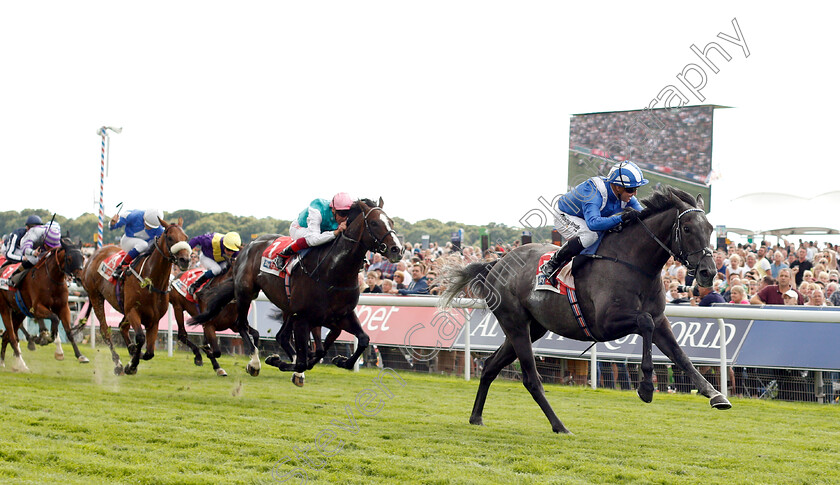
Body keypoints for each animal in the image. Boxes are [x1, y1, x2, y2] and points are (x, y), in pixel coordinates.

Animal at [0, 238, 87, 370]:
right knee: (11, 336)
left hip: (19, 313)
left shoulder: (64, 307)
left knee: (6, 336)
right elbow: (54, 318)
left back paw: (3, 362)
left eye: (82, 257)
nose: (80, 279)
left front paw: (80, 355)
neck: (52, 279)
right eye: (69, 258)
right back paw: (22, 364)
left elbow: (68, 331)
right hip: (5, 308)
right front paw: (47, 337)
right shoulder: (36, 308)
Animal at [79, 218, 189, 374]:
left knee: (122, 327)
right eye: (170, 238)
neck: (151, 281)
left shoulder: (154, 320)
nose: (185, 260)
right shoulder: (132, 311)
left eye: (186, 238)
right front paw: (131, 364)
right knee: (105, 330)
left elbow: (149, 352)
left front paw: (134, 356)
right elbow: (140, 338)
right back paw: (118, 363)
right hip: (96, 296)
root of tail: (95, 254)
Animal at [192, 199, 402, 376]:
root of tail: (245, 247)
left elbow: (362, 340)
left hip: (286, 308)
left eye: (391, 222)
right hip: (246, 293)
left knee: (281, 336)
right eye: (374, 223)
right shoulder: (304, 317)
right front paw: (279, 362)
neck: (333, 273)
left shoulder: (341, 316)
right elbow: (303, 362)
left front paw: (341, 361)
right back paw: (255, 362)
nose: (397, 250)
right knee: (242, 324)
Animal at [440, 187, 728, 432]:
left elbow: (681, 356)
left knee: (490, 366)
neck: (634, 263)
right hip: (515, 323)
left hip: (532, 328)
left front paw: (715, 395)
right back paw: (559, 426)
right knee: (531, 379)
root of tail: (497, 264)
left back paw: (476, 417)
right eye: (687, 228)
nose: (708, 272)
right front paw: (646, 387)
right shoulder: (605, 323)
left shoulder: (661, 320)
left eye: (710, 228)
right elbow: (645, 322)